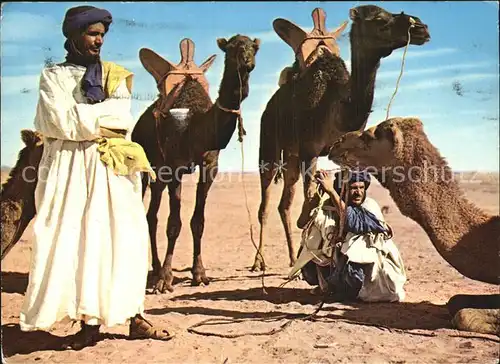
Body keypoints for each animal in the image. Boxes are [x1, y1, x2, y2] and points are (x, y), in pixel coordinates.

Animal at [131, 35, 260, 294]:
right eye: (232, 48)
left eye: (254, 47)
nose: (247, 62)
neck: (196, 125)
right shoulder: (174, 167)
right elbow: (174, 224)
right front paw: (165, 279)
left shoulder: (210, 165)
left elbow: (197, 222)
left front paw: (199, 274)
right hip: (146, 168)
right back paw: (154, 269)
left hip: (158, 175)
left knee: (151, 214)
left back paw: (155, 266)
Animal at [254, 5, 430, 272]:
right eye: (379, 19)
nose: (421, 27)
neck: (335, 107)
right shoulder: (309, 149)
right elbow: (310, 201)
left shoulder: (344, 148)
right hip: (269, 146)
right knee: (264, 204)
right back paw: (258, 263)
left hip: (292, 157)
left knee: (283, 204)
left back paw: (293, 258)